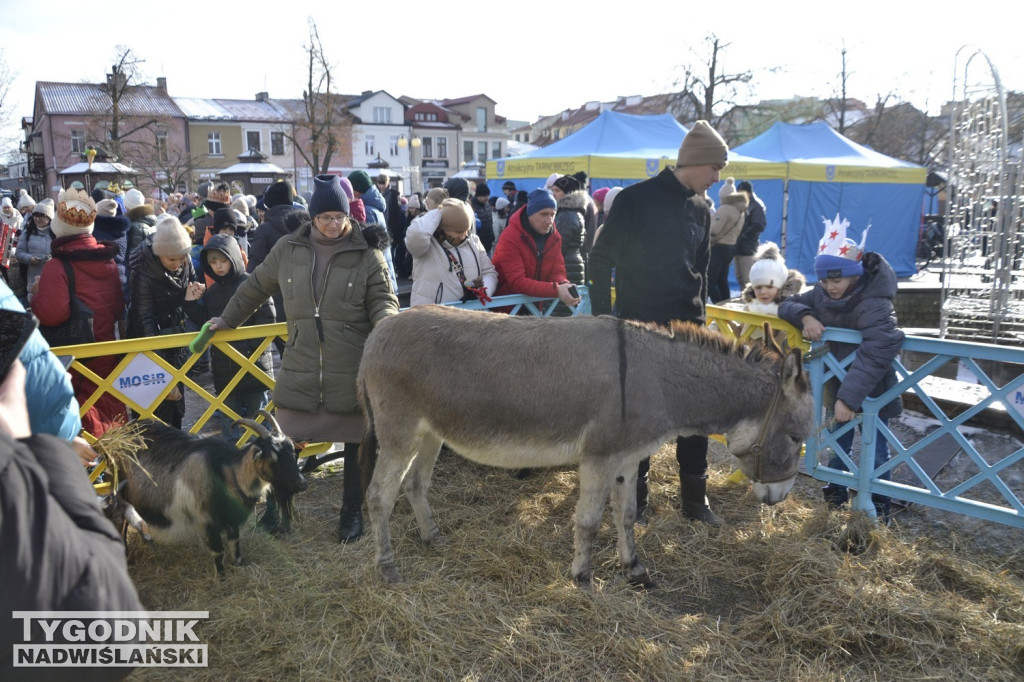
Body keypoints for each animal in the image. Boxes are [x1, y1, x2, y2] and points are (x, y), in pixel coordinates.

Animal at [110, 409, 307, 573]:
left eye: (292, 452)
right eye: (271, 458)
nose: (302, 484)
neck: (229, 474)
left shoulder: (231, 520)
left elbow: (235, 544)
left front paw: (240, 565)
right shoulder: (207, 521)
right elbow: (218, 552)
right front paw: (221, 578)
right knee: (123, 521)